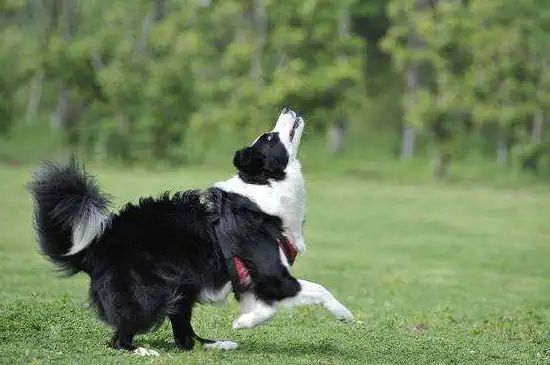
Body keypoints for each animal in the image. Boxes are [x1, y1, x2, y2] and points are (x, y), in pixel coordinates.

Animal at [30, 106, 356, 354]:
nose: (287, 108)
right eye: (269, 137)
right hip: (149, 294)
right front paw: (346, 314)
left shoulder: (250, 279)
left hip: (181, 287)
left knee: (185, 337)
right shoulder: (272, 274)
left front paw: (245, 321)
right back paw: (143, 351)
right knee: (120, 338)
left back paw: (217, 344)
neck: (265, 187)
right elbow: (318, 289)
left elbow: (267, 307)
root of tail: (95, 246)